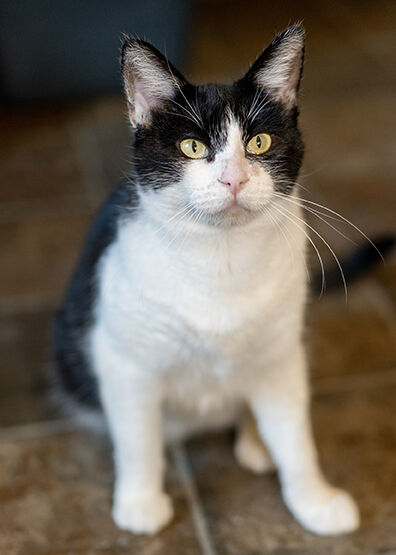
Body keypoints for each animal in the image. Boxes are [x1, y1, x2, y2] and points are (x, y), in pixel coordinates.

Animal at [54, 25, 360, 536]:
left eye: (259, 143)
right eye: (192, 147)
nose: (233, 179)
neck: (221, 258)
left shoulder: (282, 353)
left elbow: (296, 435)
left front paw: (314, 500)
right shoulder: (122, 359)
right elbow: (137, 437)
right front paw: (140, 501)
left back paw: (256, 441)